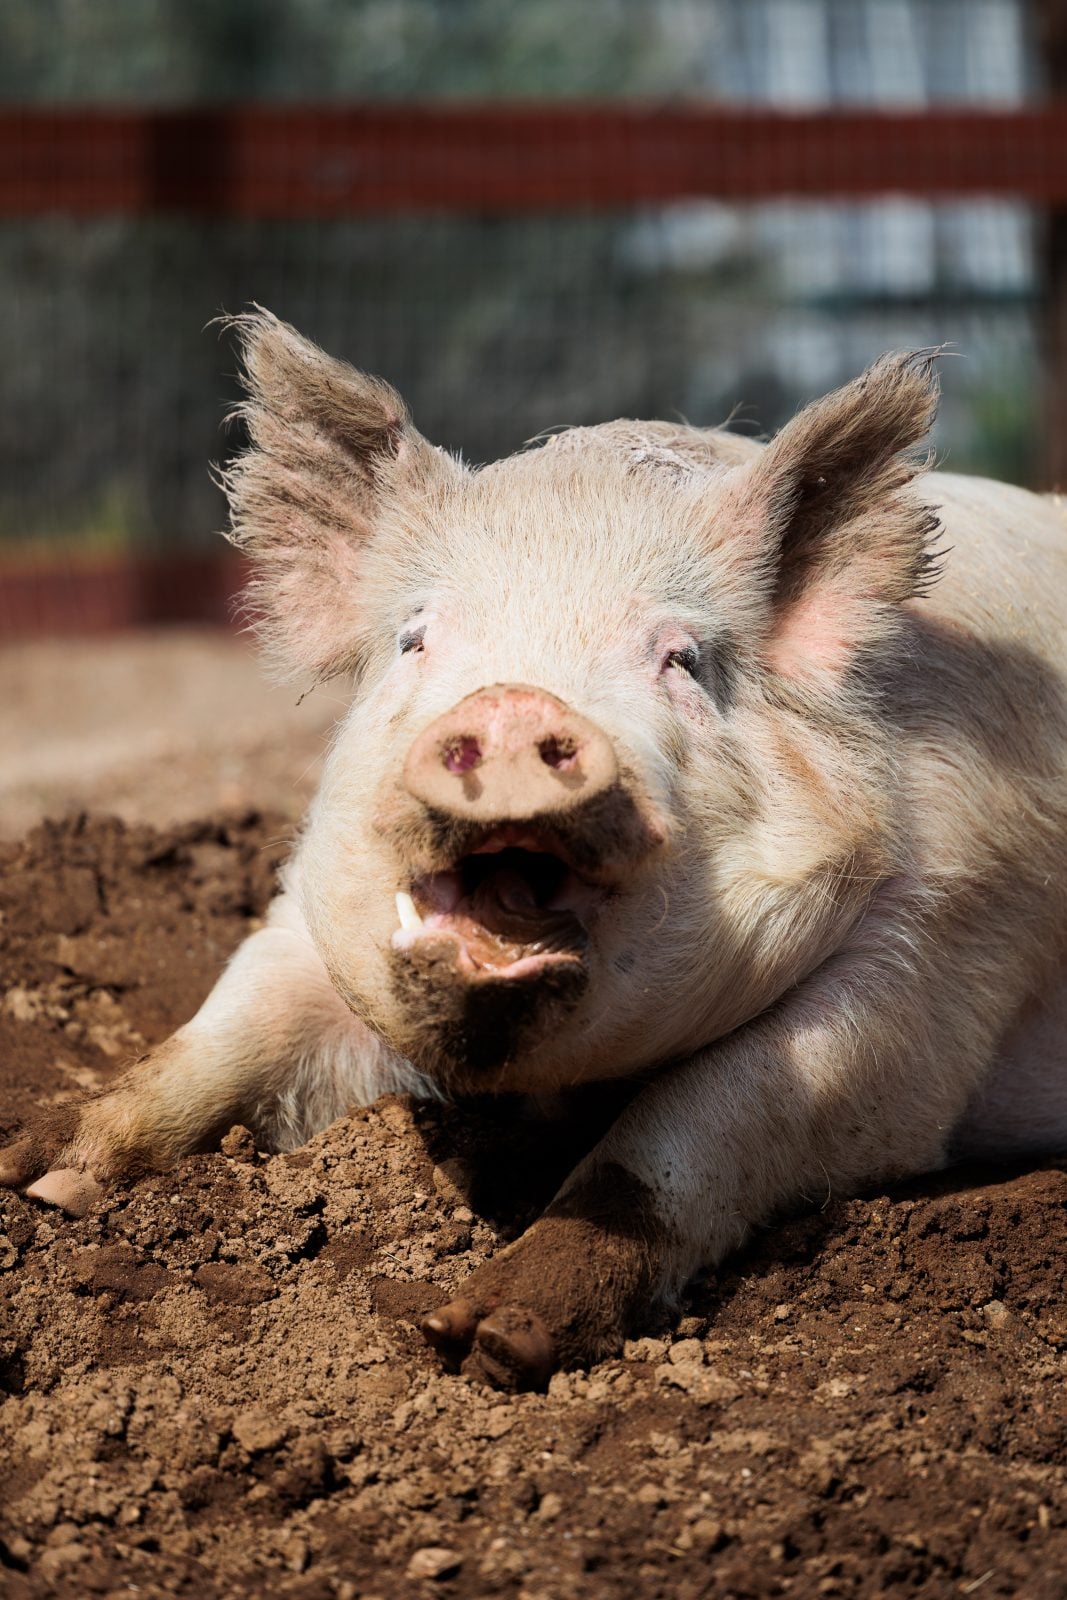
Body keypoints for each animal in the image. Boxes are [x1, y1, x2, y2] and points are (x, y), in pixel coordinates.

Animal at [2, 310, 1066, 1389]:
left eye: (682, 659)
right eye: (415, 639)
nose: (514, 703)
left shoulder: (938, 949)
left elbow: (691, 1125)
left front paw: (486, 1341)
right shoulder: (304, 914)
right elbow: (223, 1035)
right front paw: (38, 1178)